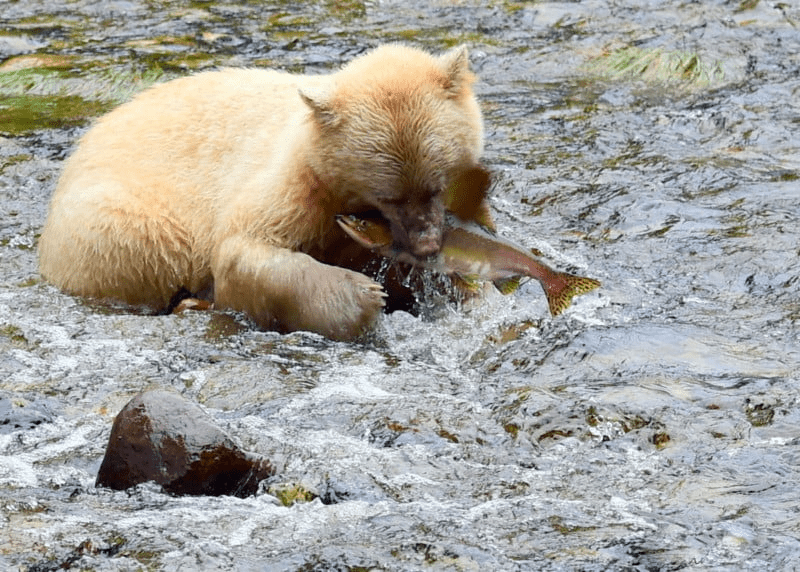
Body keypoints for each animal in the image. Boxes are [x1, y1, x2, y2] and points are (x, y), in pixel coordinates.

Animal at [39, 45, 488, 340]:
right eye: (389, 196)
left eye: (437, 185)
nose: (428, 244)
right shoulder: (296, 185)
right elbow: (242, 247)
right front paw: (363, 296)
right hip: (121, 224)